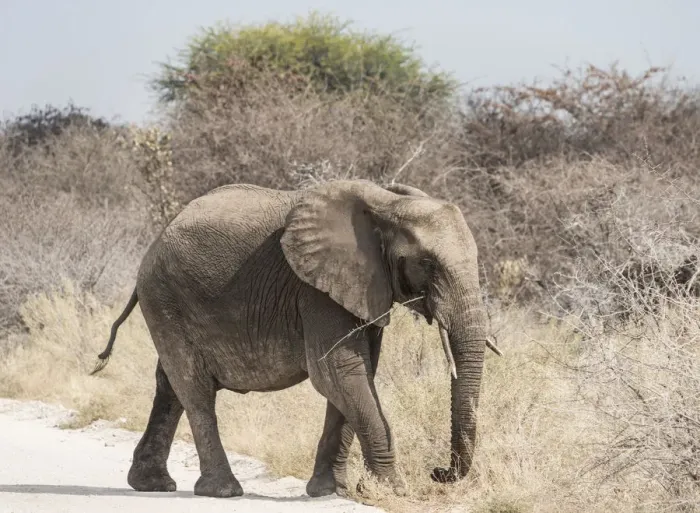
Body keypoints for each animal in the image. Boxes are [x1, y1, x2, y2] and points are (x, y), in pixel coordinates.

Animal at [91, 179, 500, 499]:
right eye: (427, 264)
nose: (438, 472)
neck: (386, 204)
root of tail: (155, 243)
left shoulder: (360, 288)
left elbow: (356, 374)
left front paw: (334, 492)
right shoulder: (316, 290)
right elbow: (339, 372)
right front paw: (391, 491)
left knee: (170, 385)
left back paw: (151, 484)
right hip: (165, 297)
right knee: (195, 388)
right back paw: (223, 490)